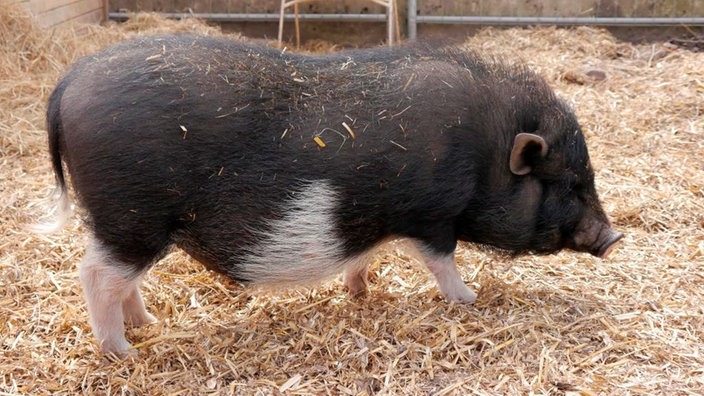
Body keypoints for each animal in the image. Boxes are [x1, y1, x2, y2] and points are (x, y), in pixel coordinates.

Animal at [35, 34, 624, 356]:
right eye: (568, 182)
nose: (614, 236)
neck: (484, 150)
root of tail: (67, 84)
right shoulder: (431, 216)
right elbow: (443, 263)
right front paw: (470, 300)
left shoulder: (375, 217)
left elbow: (364, 257)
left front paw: (362, 295)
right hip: (131, 214)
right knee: (96, 274)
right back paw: (122, 351)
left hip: (133, 224)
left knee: (121, 279)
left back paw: (149, 325)